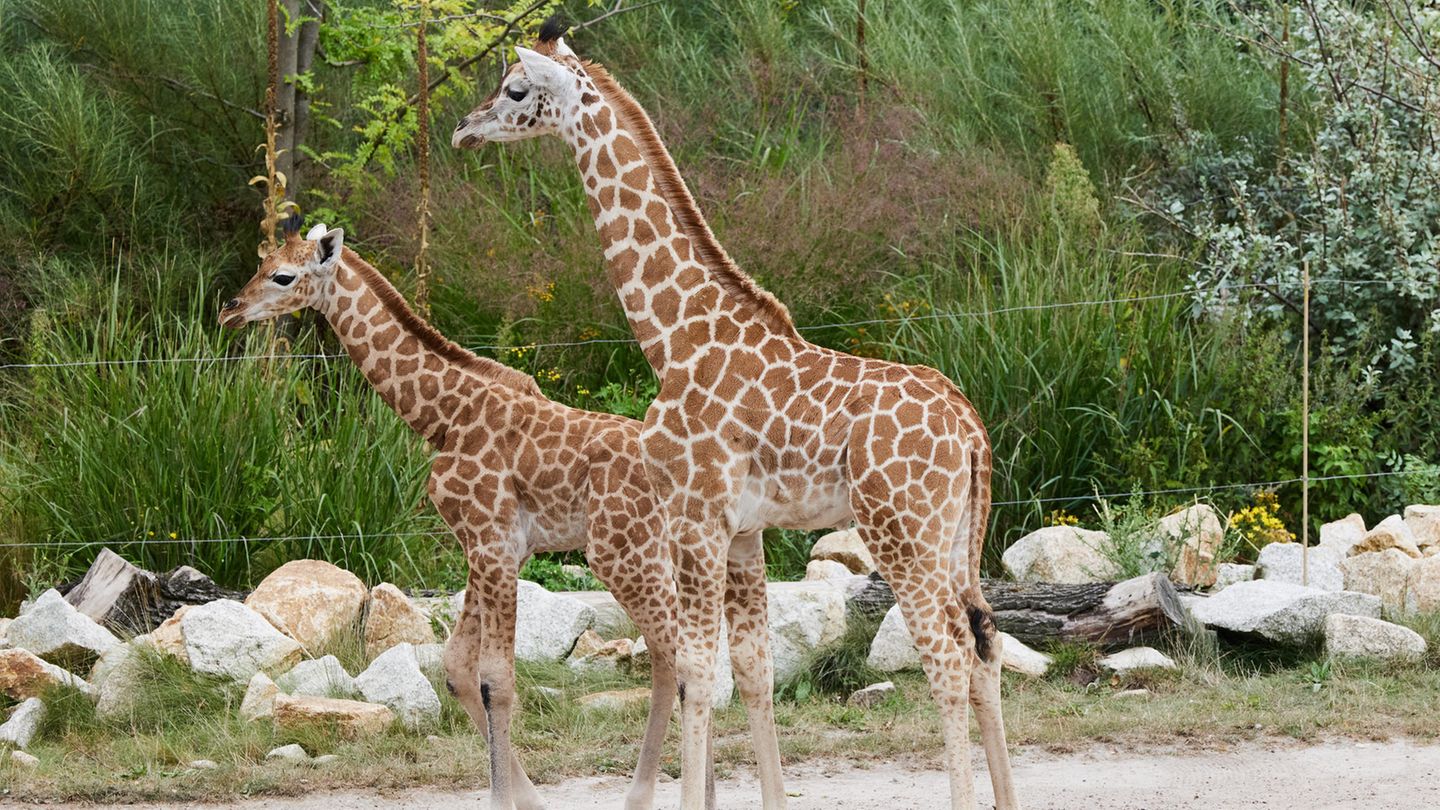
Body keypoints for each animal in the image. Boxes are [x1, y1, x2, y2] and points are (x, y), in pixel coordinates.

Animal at [221, 214, 720, 807]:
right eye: (262, 261)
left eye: (283, 275)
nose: (230, 309)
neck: (442, 415)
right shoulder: (492, 547)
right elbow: (458, 668)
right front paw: (529, 798)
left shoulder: (491, 541)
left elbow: (496, 681)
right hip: (654, 554)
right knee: (671, 662)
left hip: (621, 553)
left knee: (687, 663)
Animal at [455, 23, 1019, 807]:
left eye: (514, 89)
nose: (463, 129)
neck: (675, 337)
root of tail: (970, 432)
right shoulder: (746, 531)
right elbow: (751, 669)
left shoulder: (695, 521)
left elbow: (697, 673)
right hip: (960, 534)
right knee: (986, 641)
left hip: (901, 532)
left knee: (947, 655)